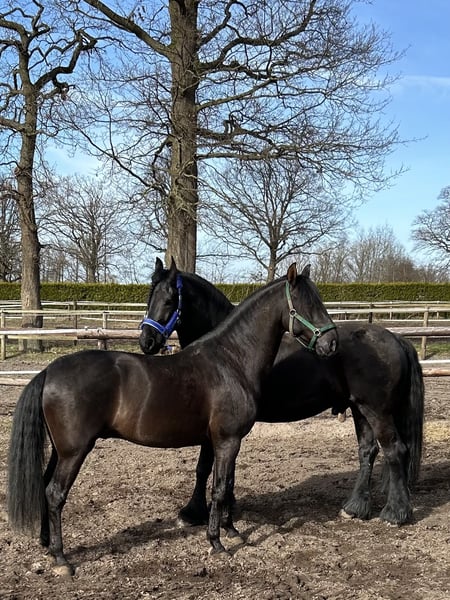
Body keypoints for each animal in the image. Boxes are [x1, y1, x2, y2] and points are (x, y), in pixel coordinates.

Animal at [7, 263, 337, 575]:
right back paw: (61, 558)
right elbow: (219, 488)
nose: (331, 343)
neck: (230, 360)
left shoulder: (222, 441)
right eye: (305, 304)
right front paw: (217, 543)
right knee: (54, 493)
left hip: (60, 451)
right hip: (74, 452)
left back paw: (47, 545)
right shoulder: (227, 440)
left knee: (44, 487)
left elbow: (226, 482)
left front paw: (231, 531)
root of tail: (49, 370)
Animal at [139, 258, 424, 529]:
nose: (147, 341)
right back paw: (355, 508)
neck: (230, 348)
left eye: (169, 300)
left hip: (377, 410)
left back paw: (395, 513)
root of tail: (397, 338)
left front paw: (193, 512)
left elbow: (203, 467)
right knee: (368, 451)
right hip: (360, 409)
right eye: (150, 297)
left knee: (395, 450)